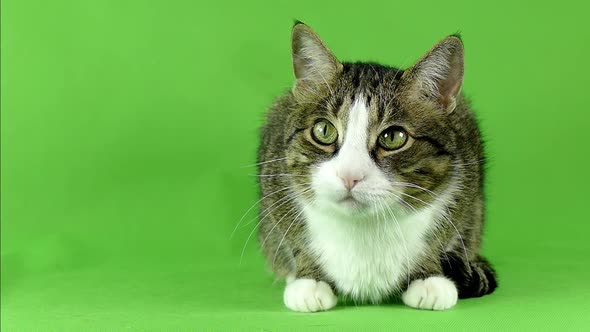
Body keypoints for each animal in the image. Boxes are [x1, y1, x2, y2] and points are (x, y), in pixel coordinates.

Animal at [256, 22, 498, 312]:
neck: (364, 228)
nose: (350, 176)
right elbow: (290, 233)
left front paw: (428, 276)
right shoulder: (273, 171)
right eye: (323, 130)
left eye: (393, 137)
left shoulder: (467, 175)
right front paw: (309, 280)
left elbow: (446, 231)